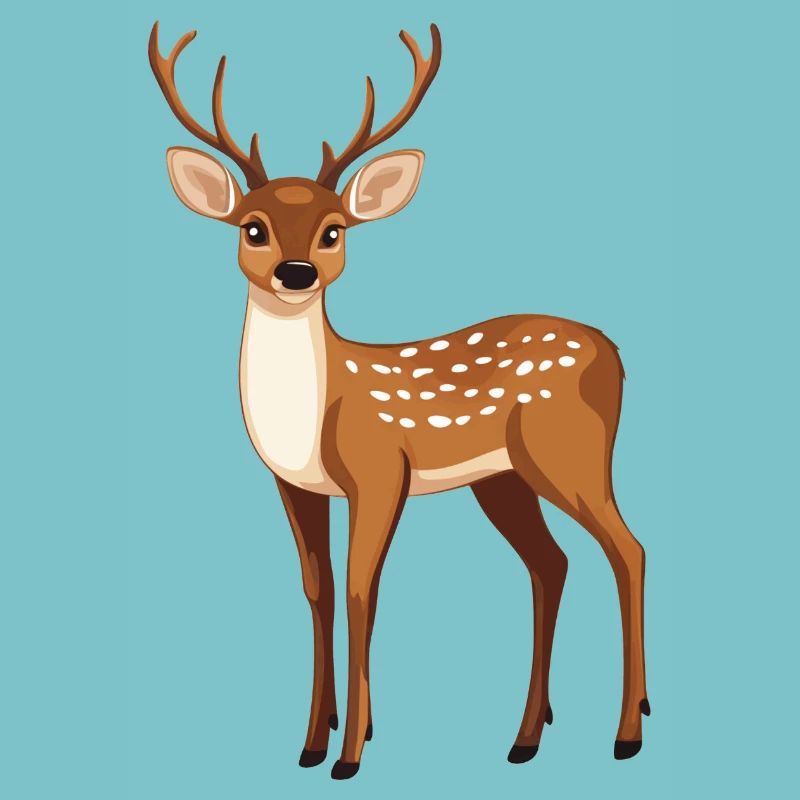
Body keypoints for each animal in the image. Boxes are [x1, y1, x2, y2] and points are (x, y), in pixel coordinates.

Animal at [148, 20, 649, 780]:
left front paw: (351, 753)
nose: (297, 273)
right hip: (503, 478)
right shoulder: (294, 485)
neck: (312, 412)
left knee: (628, 550)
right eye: (252, 227)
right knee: (551, 563)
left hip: (568, 452)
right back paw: (525, 738)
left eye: (334, 230)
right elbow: (319, 590)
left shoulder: (380, 469)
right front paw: (311, 742)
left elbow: (362, 591)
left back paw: (628, 732)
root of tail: (614, 352)